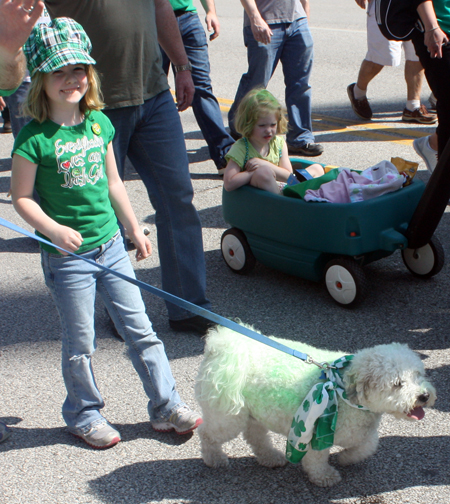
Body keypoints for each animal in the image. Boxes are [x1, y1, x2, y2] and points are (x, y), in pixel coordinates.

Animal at [196, 324, 436, 486]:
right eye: (397, 383)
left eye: (418, 375)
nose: (424, 396)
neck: (343, 390)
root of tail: (223, 347)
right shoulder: (316, 431)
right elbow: (316, 459)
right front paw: (325, 476)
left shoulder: (362, 432)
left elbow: (368, 447)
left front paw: (346, 458)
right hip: (227, 415)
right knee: (207, 433)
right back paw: (214, 458)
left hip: (253, 412)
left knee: (255, 436)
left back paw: (270, 457)